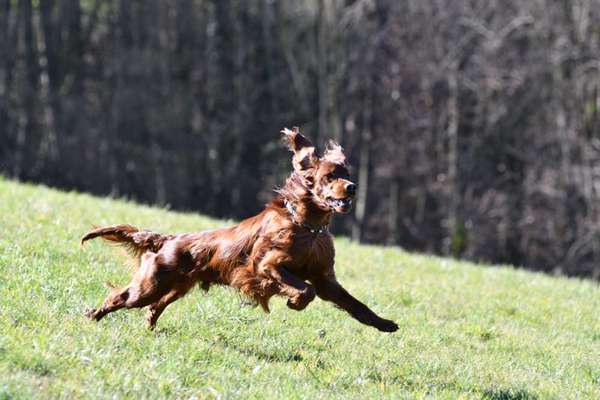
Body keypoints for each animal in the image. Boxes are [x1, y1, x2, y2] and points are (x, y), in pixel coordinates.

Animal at [81, 127, 398, 332]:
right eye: (330, 176)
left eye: (348, 174)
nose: (353, 188)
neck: (309, 228)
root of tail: (170, 240)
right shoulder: (267, 265)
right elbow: (304, 288)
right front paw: (295, 302)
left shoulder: (325, 279)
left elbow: (356, 305)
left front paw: (384, 323)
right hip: (152, 283)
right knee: (120, 298)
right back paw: (92, 316)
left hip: (176, 287)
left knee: (153, 307)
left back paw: (148, 328)